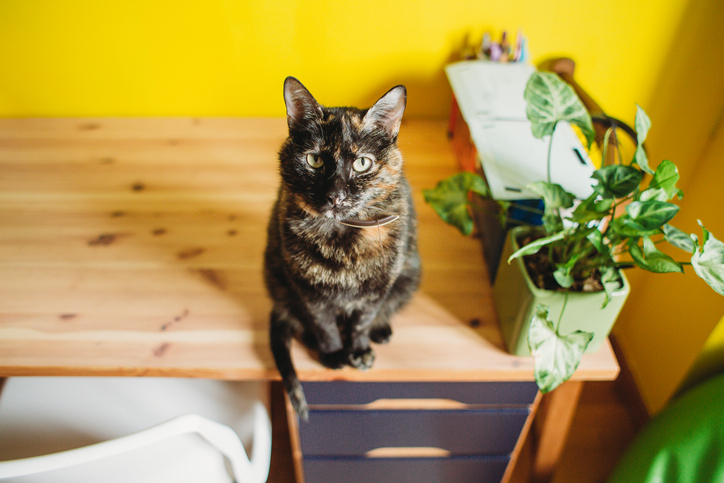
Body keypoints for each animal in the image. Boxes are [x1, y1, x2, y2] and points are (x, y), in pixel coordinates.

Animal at [264, 78, 422, 420]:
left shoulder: (378, 288)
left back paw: (381, 331)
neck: (343, 241)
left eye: (362, 163)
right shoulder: (308, 290)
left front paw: (358, 350)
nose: (335, 195)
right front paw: (335, 353)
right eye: (315, 160)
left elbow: (362, 320)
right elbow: (324, 325)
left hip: (409, 276)